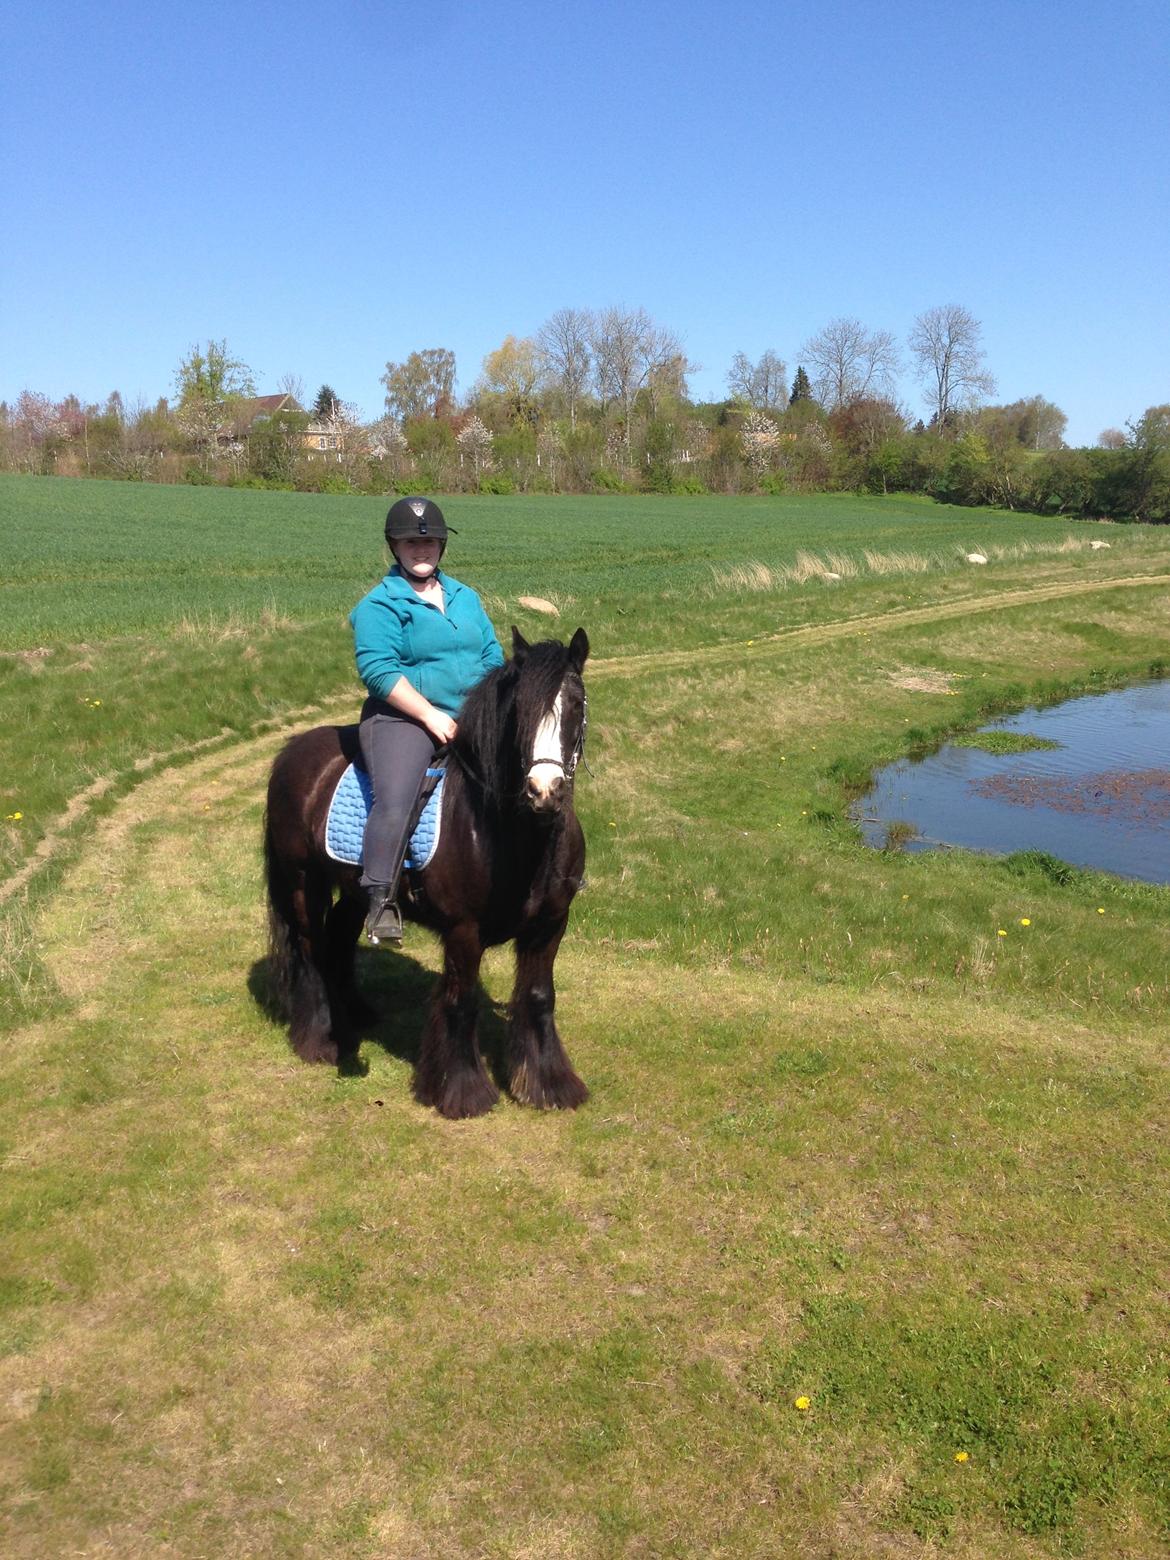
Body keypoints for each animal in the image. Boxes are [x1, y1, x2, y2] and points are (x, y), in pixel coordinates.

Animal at [262, 627, 589, 1116]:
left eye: (577, 703)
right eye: (520, 710)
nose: (544, 792)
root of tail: (291, 751)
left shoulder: (550, 925)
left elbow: (538, 997)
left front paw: (547, 1084)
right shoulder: (463, 930)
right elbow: (461, 999)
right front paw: (461, 1090)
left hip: (356, 890)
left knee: (339, 937)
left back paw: (356, 1014)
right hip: (303, 881)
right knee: (310, 948)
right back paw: (321, 1040)